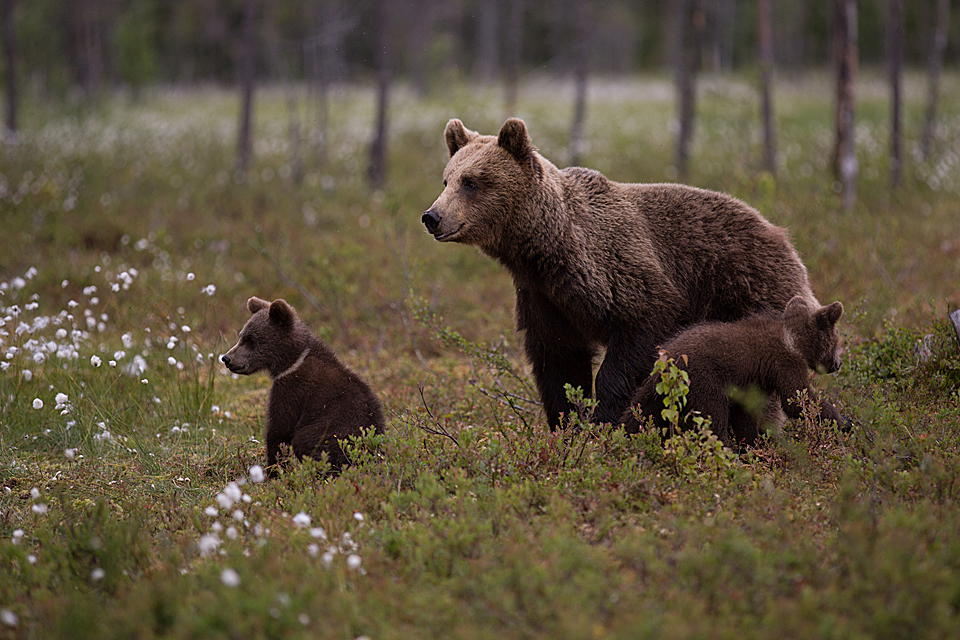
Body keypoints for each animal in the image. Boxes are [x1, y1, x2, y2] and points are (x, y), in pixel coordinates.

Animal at [422, 119, 816, 430]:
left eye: (472, 181)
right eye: (446, 179)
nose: (432, 216)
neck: (546, 250)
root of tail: (783, 237)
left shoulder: (622, 273)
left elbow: (638, 334)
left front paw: (604, 417)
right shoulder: (544, 297)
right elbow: (558, 361)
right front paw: (569, 423)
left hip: (746, 290)